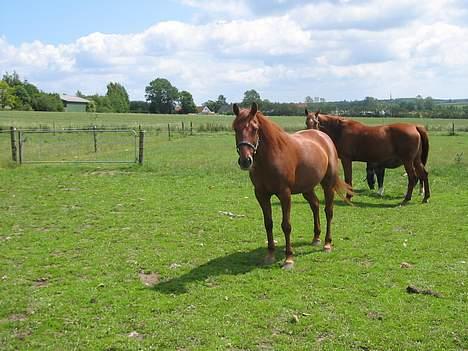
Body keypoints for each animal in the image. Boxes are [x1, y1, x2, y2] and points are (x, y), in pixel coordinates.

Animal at [232, 102, 350, 270]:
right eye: (235, 128)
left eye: (254, 128)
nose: (245, 161)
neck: (271, 156)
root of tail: (323, 137)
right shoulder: (261, 194)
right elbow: (268, 223)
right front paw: (270, 254)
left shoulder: (284, 194)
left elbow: (286, 225)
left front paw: (288, 259)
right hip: (307, 188)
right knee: (315, 205)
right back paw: (316, 238)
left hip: (328, 185)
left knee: (328, 211)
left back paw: (327, 243)